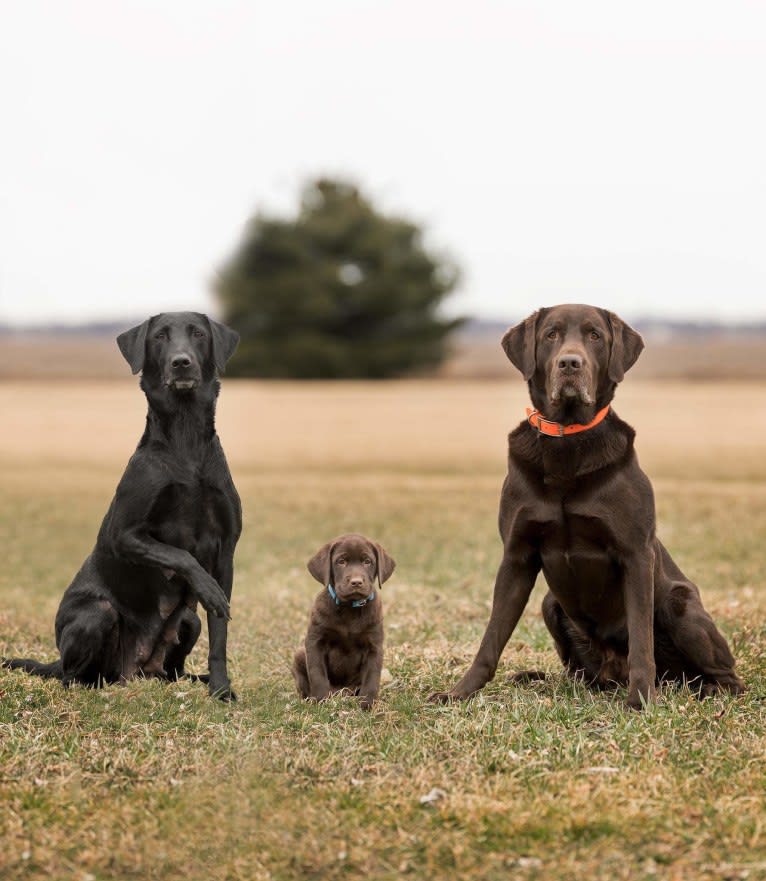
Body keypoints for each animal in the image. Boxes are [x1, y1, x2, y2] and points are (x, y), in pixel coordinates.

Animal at [3, 312, 242, 696]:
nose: (181, 362)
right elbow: (181, 555)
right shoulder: (125, 535)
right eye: (160, 337)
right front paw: (207, 588)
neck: (186, 439)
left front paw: (221, 689)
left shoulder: (225, 551)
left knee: (174, 667)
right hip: (97, 614)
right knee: (72, 675)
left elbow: (219, 632)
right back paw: (93, 684)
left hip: (188, 622)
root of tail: (136, 668)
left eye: (199, 334)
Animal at [292, 528, 392, 708]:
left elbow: (372, 678)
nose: (356, 582)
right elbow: (317, 673)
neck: (349, 609)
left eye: (367, 561)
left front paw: (367, 704)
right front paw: (321, 700)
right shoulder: (315, 641)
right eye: (341, 561)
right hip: (298, 655)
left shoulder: (374, 646)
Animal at [432, 302, 744, 708]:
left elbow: (641, 640)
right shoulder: (517, 555)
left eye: (595, 335)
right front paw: (459, 693)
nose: (570, 363)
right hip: (552, 604)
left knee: (726, 677)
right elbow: (492, 638)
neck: (567, 441)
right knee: (579, 671)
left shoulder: (636, 554)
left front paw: (640, 701)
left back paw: (702, 689)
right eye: (551, 334)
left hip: (680, 604)